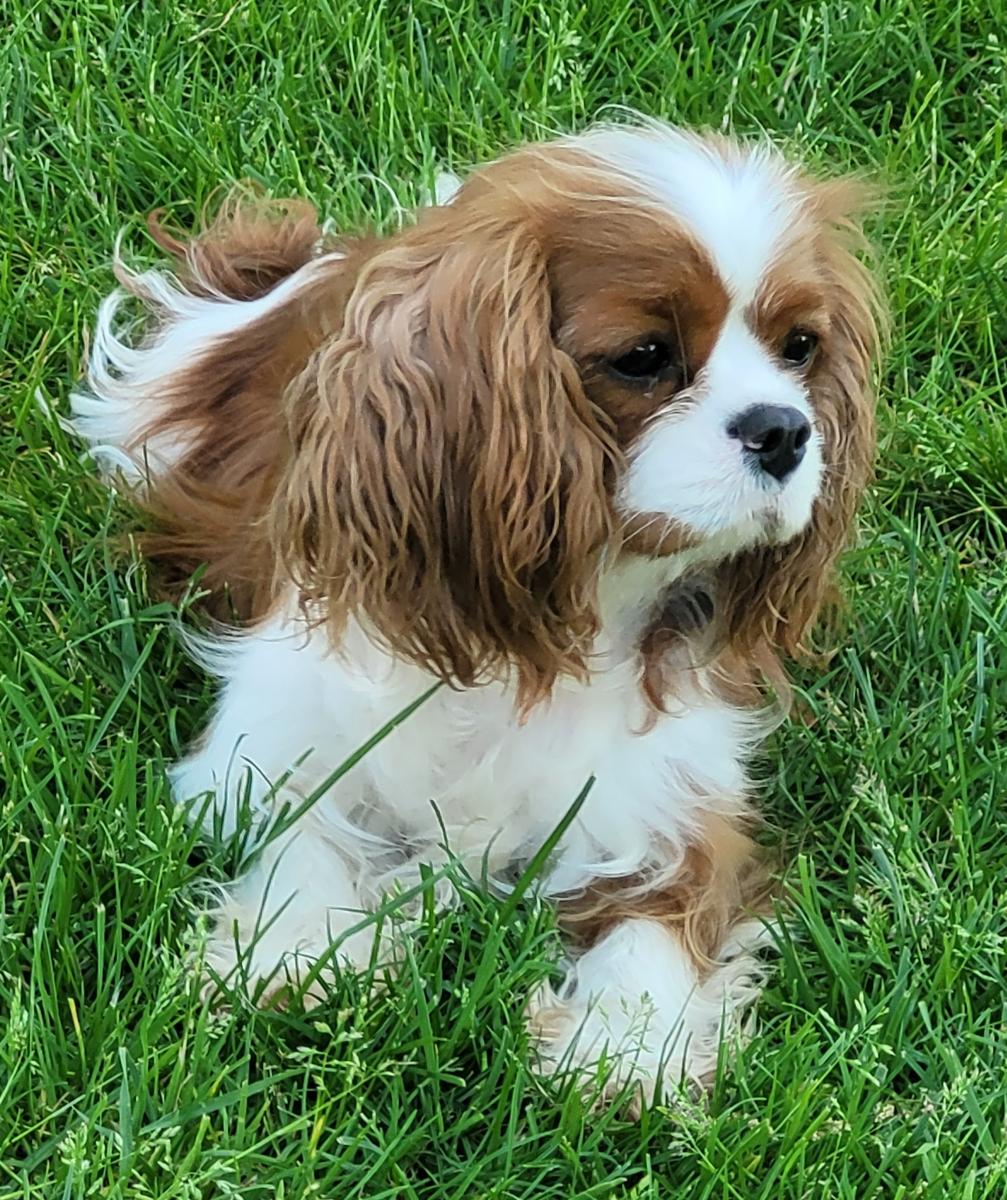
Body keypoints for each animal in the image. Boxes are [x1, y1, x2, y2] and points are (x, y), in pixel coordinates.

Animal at [70, 119, 883, 1104]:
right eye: (643, 358)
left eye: (799, 347)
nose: (784, 429)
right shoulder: (273, 737)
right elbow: (307, 832)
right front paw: (293, 954)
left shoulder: (670, 797)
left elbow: (655, 923)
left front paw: (623, 1048)